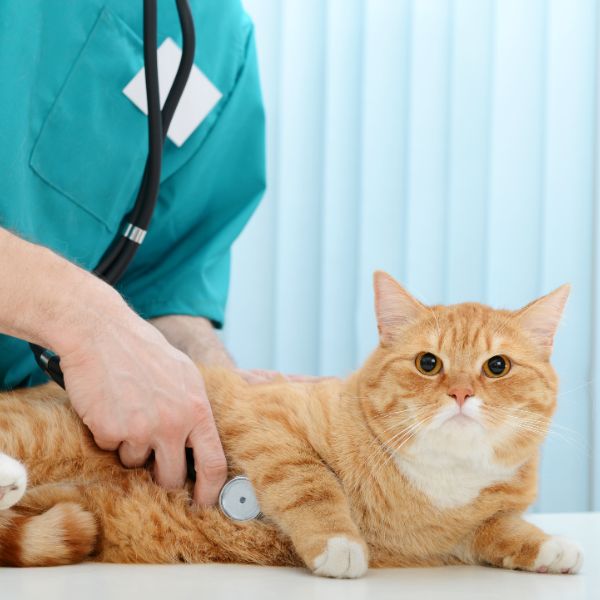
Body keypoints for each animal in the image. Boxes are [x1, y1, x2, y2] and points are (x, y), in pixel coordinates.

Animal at [0, 272, 584, 576]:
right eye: (428, 363)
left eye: (497, 366)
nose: (461, 394)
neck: (437, 484)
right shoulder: (268, 424)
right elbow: (311, 482)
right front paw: (339, 543)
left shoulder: (466, 531)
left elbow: (504, 529)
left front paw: (551, 547)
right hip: (44, 432)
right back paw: (10, 475)